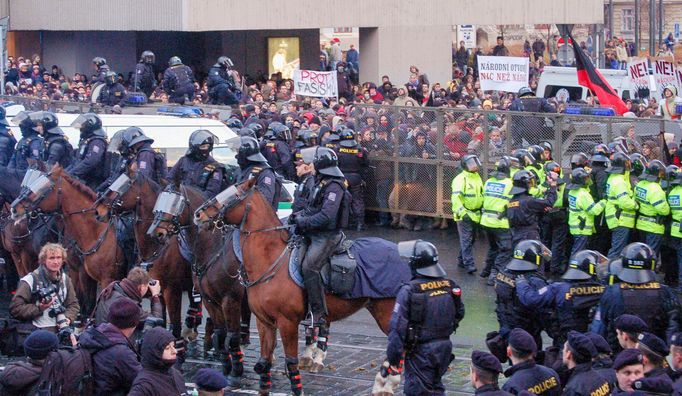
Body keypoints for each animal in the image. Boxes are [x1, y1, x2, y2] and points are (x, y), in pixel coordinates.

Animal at [146, 181, 250, 386]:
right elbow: (221, 333)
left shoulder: (229, 299)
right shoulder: (209, 299)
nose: (156, 233)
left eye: (175, 203)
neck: (214, 248)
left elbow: (230, 336)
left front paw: (235, 371)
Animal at [191, 179, 396, 396]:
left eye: (233, 195)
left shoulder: (286, 322)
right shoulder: (264, 322)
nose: (198, 214)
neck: (270, 261)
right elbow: (263, 363)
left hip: (387, 315)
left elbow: (291, 362)